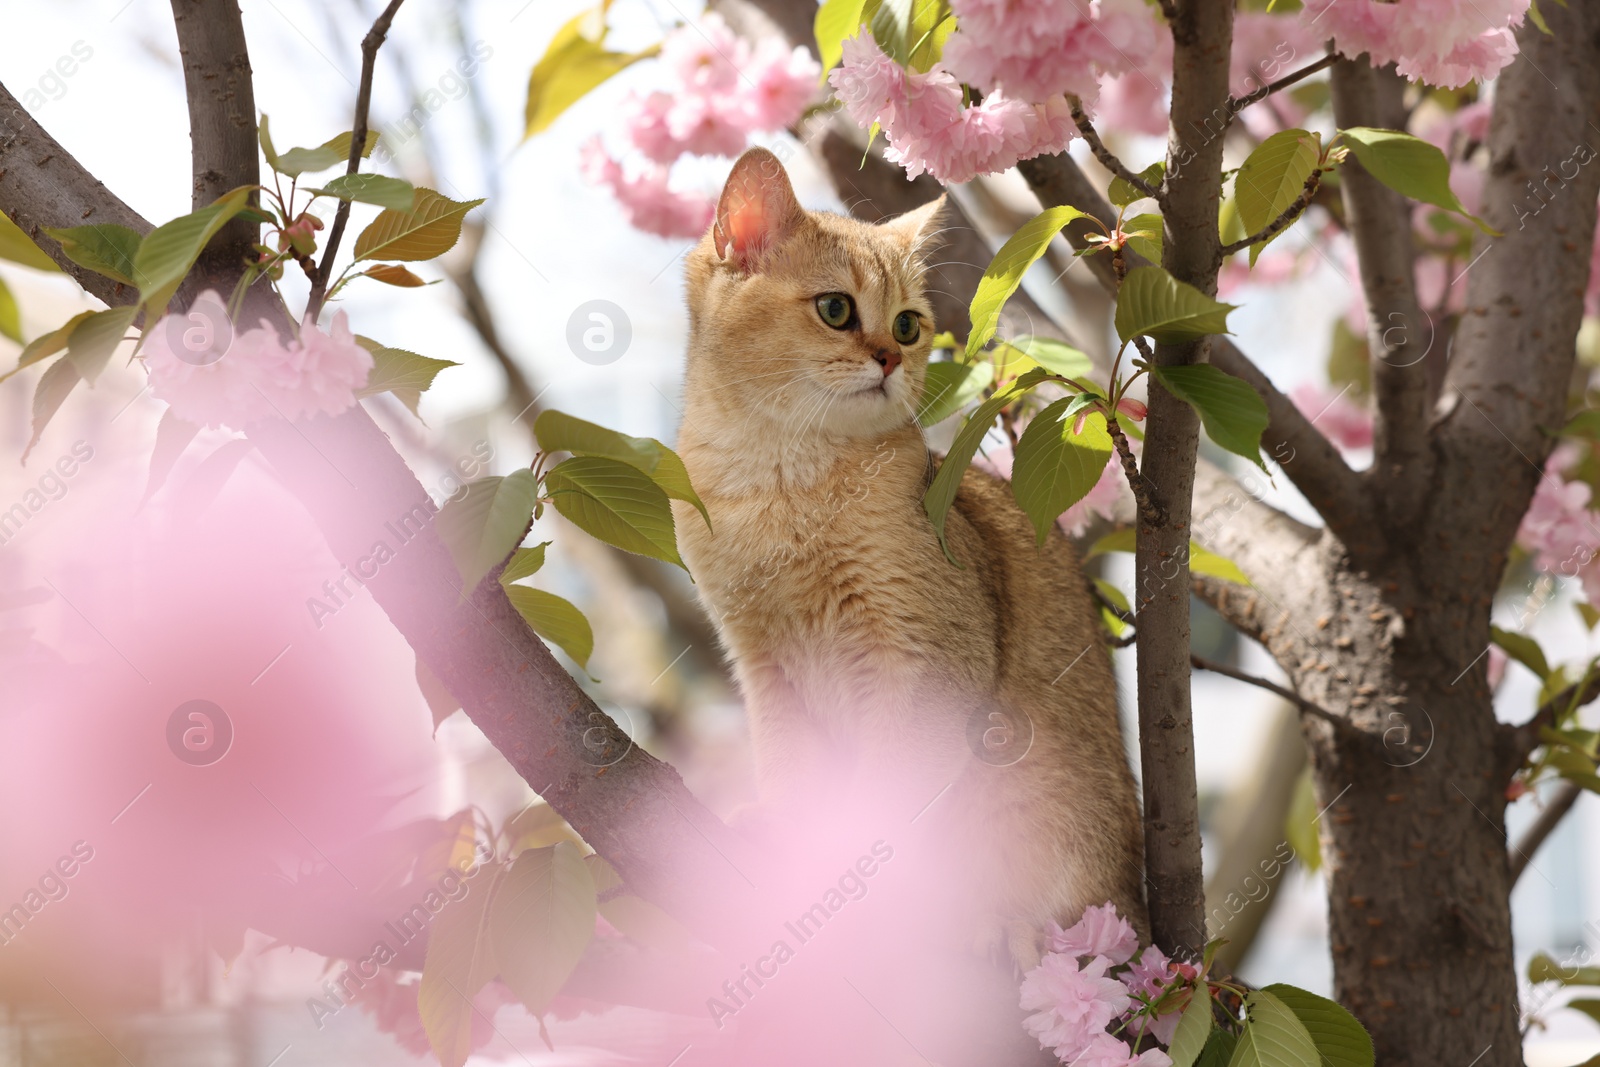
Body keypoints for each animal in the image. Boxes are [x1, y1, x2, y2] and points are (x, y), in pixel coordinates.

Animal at [668, 146, 1145, 966]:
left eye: (909, 323)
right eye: (835, 309)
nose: (891, 357)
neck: (777, 481)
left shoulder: (924, 655)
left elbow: (882, 800)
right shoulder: (763, 665)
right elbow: (794, 776)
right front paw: (787, 842)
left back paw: (1002, 927)